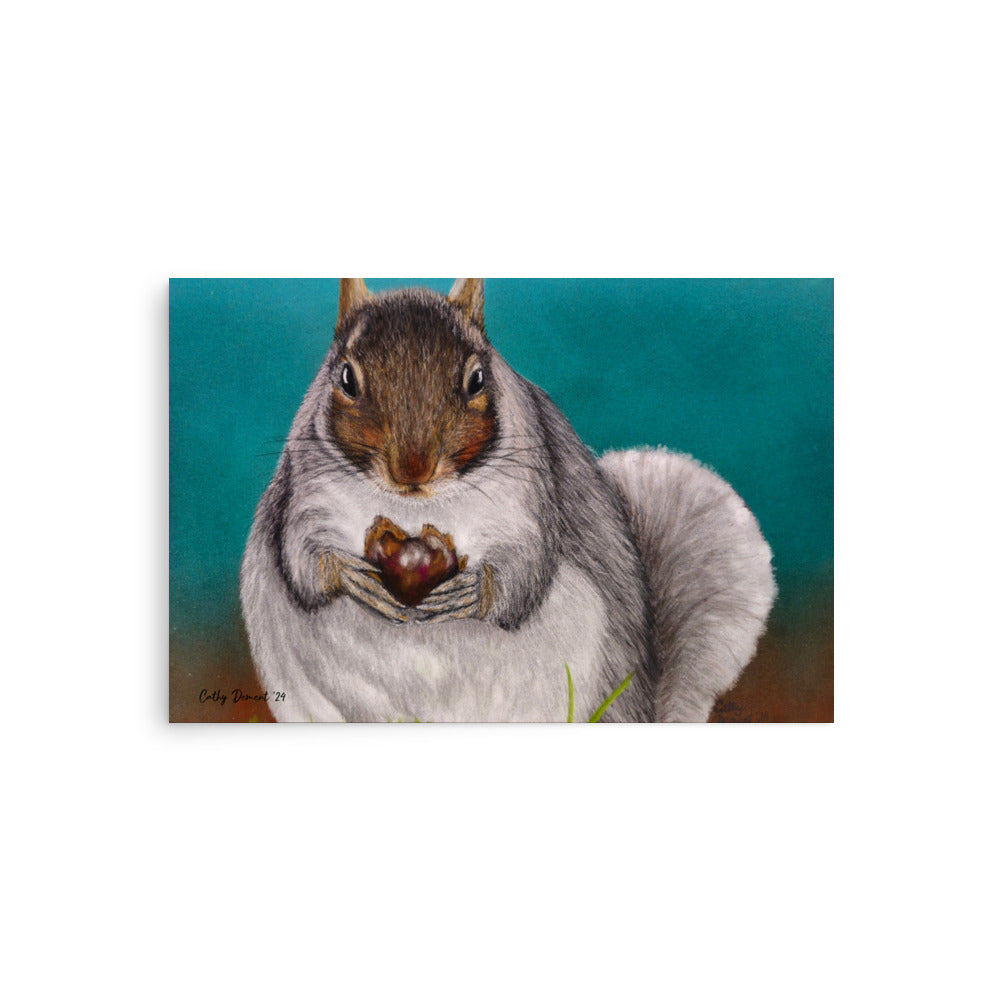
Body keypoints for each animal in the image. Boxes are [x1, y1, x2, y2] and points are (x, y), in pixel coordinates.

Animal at [240, 279, 776, 722]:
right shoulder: (306, 494)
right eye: (346, 378)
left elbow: (527, 570)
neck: (417, 508)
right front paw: (350, 575)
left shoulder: (532, 499)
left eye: (477, 379)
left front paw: (473, 591)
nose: (413, 470)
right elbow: (302, 560)